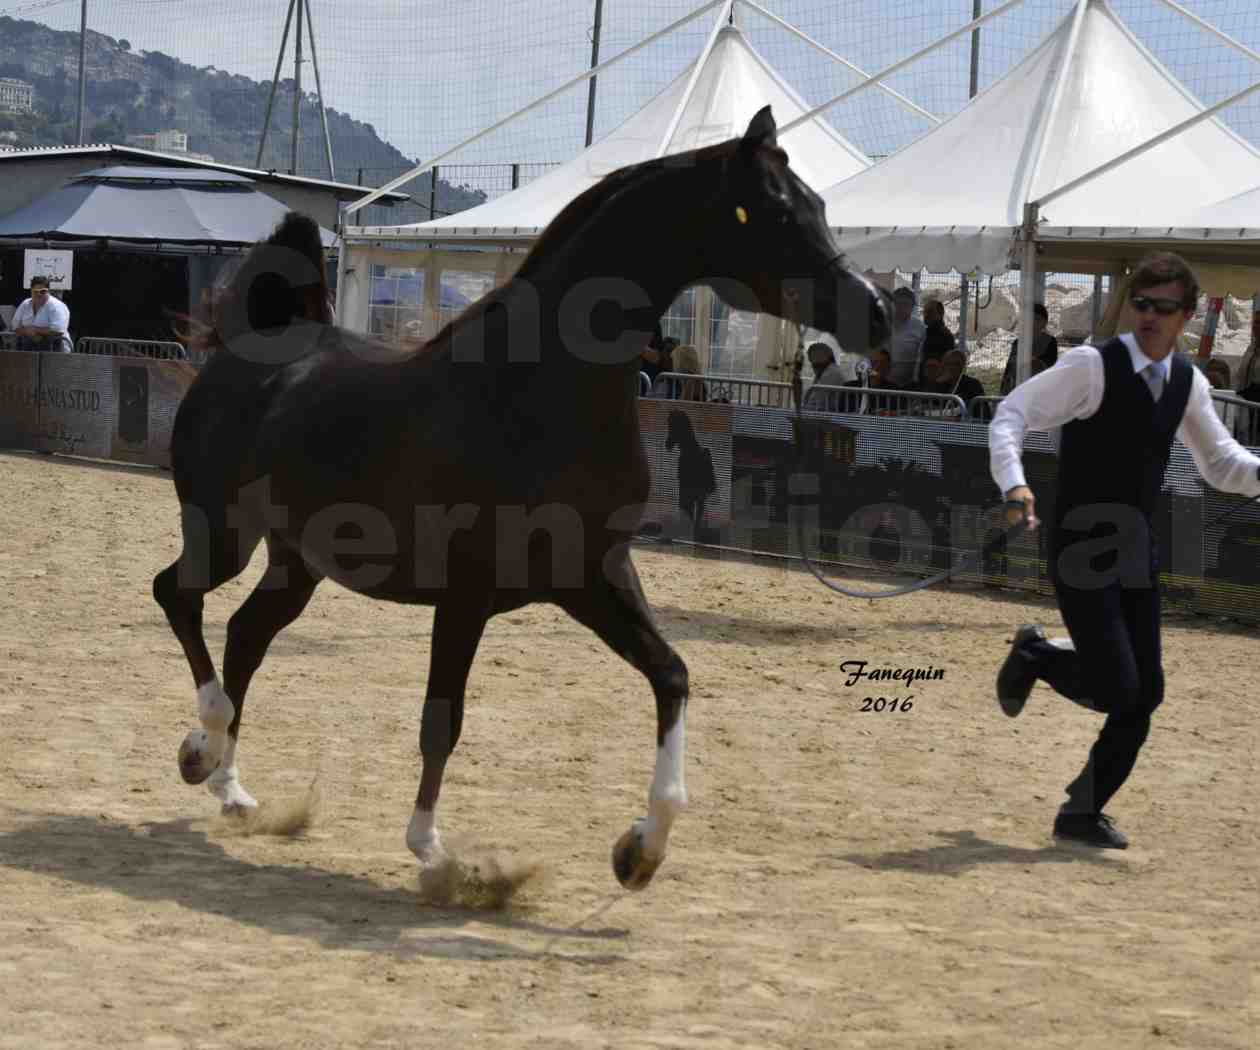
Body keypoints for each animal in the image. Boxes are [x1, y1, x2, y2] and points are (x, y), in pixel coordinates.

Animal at [154, 106, 887, 887]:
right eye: (774, 208)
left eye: (819, 204)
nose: (874, 314)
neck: (538, 393)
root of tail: (248, 345)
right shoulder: (467, 593)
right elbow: (442, 720)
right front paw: (436, 854)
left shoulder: (593, 576)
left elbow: (672, 674)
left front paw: (640, 850)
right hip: (223, 533)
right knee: (179, 596)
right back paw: (203, 747)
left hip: (299, 561)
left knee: (246, 634)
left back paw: (230, 786)